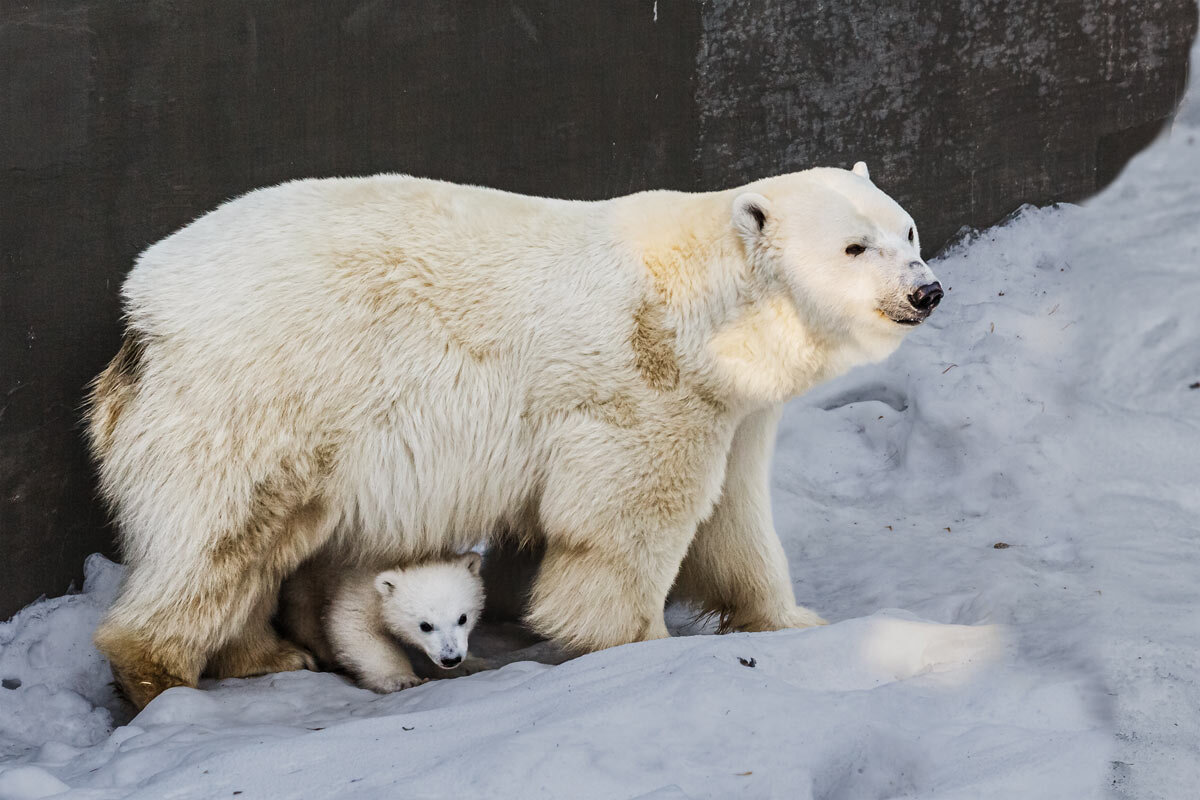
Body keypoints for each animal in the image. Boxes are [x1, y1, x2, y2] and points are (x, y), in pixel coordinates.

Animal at [278, 554, 484, 690]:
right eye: (425, 625)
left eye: (463, 618)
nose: (450, 659)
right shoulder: (358, 586)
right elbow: (356, 624)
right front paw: (401, 679)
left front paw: (470, 665)